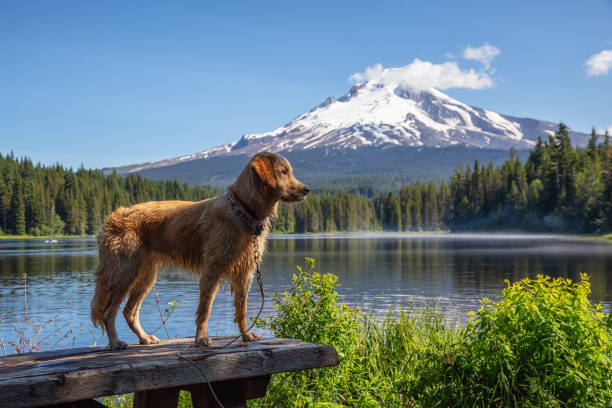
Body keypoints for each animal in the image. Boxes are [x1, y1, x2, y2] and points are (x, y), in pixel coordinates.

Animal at [89, 151, 310, 350]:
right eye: (284, 172)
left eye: (289, 171)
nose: (307, 189)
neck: (243, 211)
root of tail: (114, 216)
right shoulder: (213, 269)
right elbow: (205, 309)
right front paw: (202, 339)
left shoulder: (244, 273)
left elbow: (242, 310)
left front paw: (246, 336)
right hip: (124, 272)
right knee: (109, 312)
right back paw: (116, 343)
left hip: (146, 276)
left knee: (129, 311)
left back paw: (144, 338)